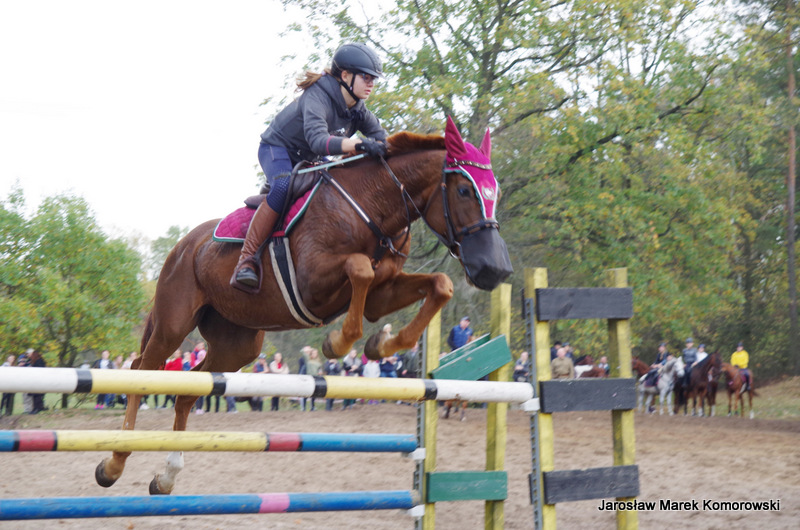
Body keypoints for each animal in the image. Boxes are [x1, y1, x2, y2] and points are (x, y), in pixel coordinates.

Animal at [95, 117, 513, 495]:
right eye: (465, 190)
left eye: (496, 193)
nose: (495, 269)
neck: (374, 205)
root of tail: (183, 246)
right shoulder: (313, 281)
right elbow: (359, 268)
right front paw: (338, 343)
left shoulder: (382, 293)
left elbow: (439, 285)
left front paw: (382, 345)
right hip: (173, 324)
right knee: (141, 372)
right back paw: (114, 464)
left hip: (238, 344)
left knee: (187, 390)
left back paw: (167, 475)